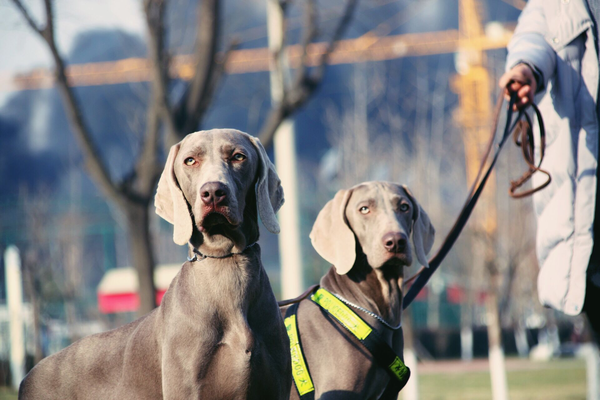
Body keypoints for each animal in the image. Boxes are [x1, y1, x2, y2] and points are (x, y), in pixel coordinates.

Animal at [22, 130, 294, 398]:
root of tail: (27, 377)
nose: (213, 192)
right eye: (190, 161)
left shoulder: (276, 388)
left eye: (238, 157)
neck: (225, 261)